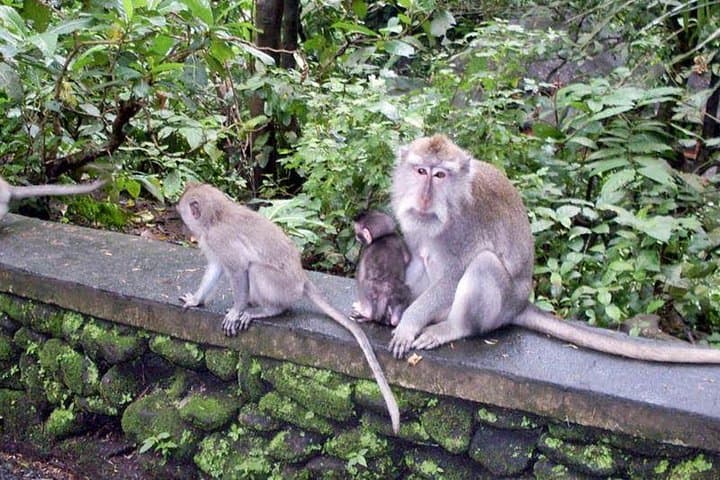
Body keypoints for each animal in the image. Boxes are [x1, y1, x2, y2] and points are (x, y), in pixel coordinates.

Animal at [176, 183, 400, 432]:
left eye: (183, 214)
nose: (184, 230)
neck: (216, 217)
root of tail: (301, 278)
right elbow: (216, 268)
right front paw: (196, 300)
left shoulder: (220, 239)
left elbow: (239, 270)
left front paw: (236, 311)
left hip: (283, 286)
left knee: (255, 269)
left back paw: (266, 310)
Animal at [388, 134, 720, 363]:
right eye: (421, 171)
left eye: (440, 175)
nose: (425, 198)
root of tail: (520, 305)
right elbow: (412, 256)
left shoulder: (464, 227)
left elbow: (454, 275)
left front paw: (409, 322)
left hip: (501, 305)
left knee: (484, 264)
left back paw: (453, 328)